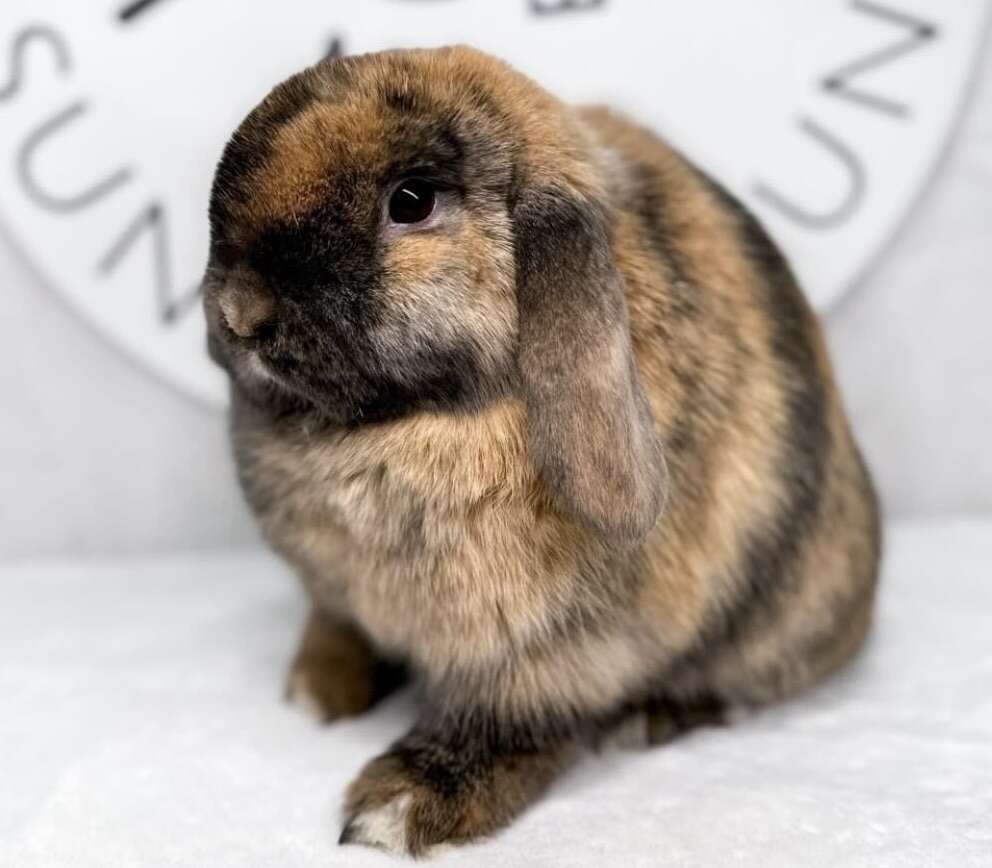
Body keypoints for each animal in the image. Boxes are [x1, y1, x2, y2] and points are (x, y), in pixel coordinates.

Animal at [200, 45, 876, 856]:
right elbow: (340, 629)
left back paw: (648, 720)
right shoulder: (337, 594)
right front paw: (316, 690)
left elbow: (504, 722)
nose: (241, 312)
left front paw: (397, 810)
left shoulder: (542, 648)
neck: (400, 422)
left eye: (412, 201)